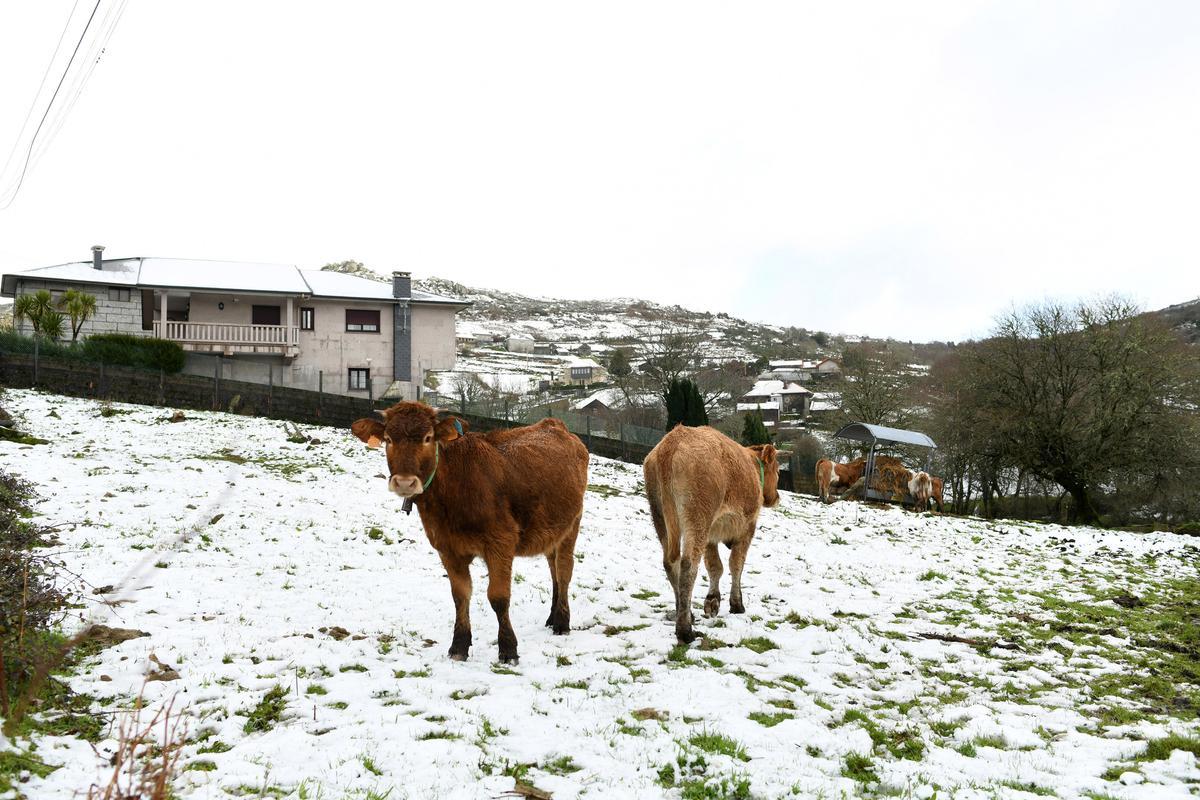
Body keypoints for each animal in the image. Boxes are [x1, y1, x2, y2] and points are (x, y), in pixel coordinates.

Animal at [350, 402, 588, 666]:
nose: (404, 483)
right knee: (553, 568)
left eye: (428, 438)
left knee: (564, 570)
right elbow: (460, 596)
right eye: (389, 439)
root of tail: (555, 424)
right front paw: (459, 645)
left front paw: (508, 648)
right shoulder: (447, 548)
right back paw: (552, 616)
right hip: (551, 528)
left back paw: (562, 622)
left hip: (572, 523)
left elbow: (498, 597)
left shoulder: (501, 543)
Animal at [643, 424, 782, 642]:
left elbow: (715, 566)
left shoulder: (711, 537)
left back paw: (685, 612)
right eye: (778, 471)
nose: (776, 497)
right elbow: (736, 564)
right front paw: (737, 604)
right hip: (698, 517)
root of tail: (673, 440)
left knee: (671, 563)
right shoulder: (747, 528)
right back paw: (685, 630)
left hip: (660, 515)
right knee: (688, 564)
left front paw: (712, 601)